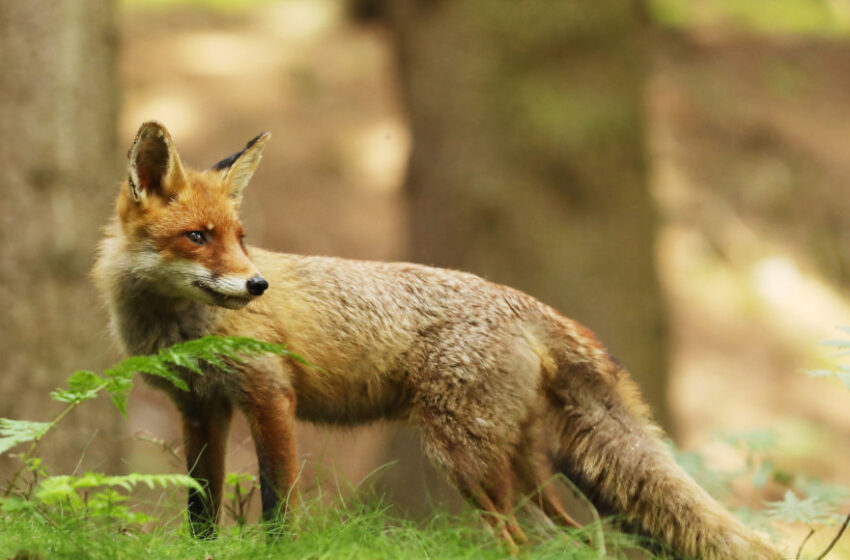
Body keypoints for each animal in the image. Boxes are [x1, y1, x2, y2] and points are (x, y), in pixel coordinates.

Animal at [94, 120, 780, 556]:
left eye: (240, 238)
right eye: (199, 237)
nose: (257, 284)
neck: (181, 331)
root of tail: (527, 302)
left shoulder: (269, 396)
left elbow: (278, 505)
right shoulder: (199, 407)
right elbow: (199, 509)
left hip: (465, 459)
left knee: (521, 545)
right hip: (523, 467)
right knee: (578, 540)